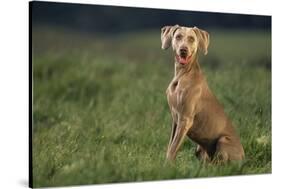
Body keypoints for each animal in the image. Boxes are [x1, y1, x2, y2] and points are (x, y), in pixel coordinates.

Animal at [161, 25, 244, 163]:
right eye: (178, 36)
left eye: (191, 39)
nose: (183, 50)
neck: (183, 74)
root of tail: (244, 157)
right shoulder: (175, 119)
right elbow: (170, 145)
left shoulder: (185, 119)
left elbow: (173, 148)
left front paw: (166, 165)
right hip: (200, 147)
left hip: (223, 140)